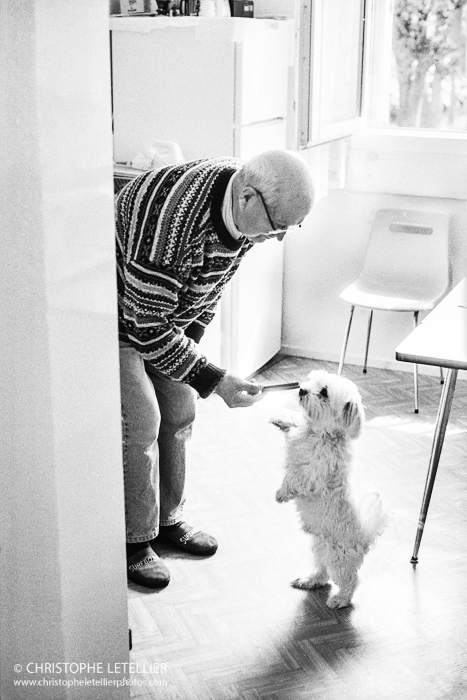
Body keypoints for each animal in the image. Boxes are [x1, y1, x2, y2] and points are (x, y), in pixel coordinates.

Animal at [274, 372, 388, 608]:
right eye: (311, 380)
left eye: (324, 392)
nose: (302, 390)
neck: (317, 434)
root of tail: (365, 538)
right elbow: (294, 423)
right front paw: (280, 419)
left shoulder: (315, 475)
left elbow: (296, 478)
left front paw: (283, 493)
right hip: (320, 548)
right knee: (322, 572)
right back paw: (309, 581)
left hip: (339, 559)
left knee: (351, 580)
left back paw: (340, 600)